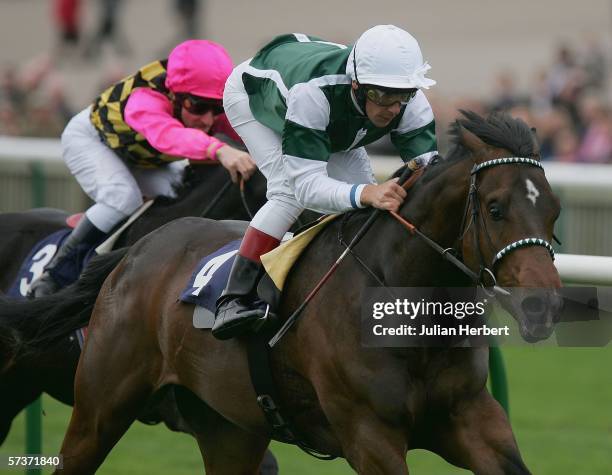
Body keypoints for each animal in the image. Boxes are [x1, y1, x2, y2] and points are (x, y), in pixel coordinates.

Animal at [10, 110, 564, 472]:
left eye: (554, 210)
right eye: (495, 208)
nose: (544, 306)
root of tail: (137, 250)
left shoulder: (471, 416)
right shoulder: (368, 433)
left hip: (229, 428)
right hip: (101, 406)